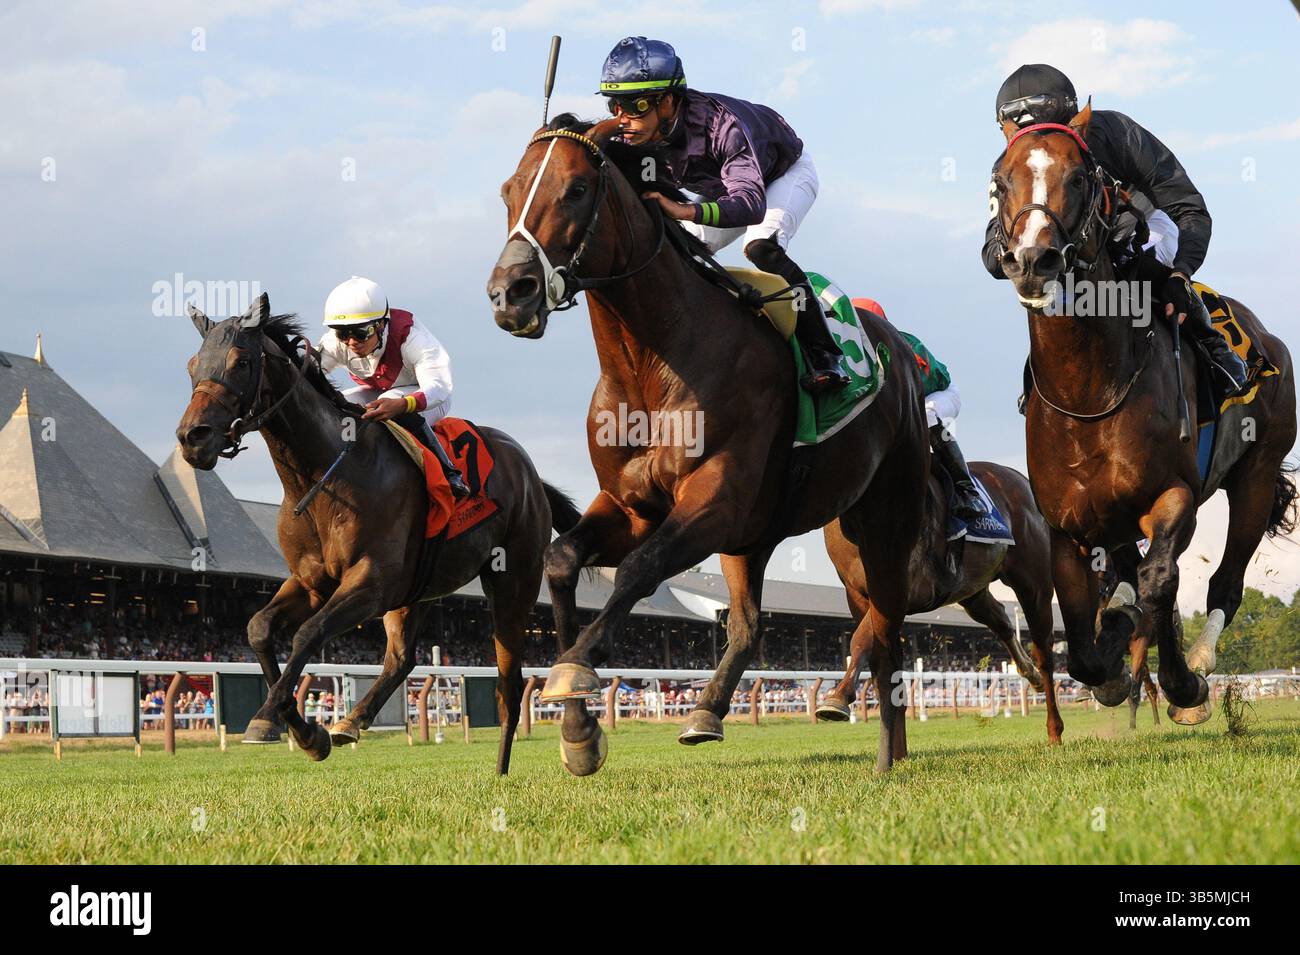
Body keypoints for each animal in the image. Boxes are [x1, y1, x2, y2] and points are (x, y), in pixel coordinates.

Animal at [174, 293, 580, 773]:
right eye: (192, 364)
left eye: (240, 362)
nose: (193, 437)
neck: (326, 474)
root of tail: (532, 476)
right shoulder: (312, 582)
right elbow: (259, 628)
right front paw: (303, 732)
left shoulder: (370, 583)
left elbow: (307, 633)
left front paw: (271, 717)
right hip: (418, 592)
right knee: (402, 659)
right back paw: (351, 721)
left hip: (511, 582)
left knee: (509, 684)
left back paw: (502, 770)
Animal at [488, 116, 931, 774]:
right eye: (508, 192)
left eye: (575, 189)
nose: (509, 293)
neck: (652, 365)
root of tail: (898, 350)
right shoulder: (633, 507)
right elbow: (562, 559)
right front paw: (577, 731)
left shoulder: (715, 500)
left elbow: (639, 569)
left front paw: (577, 667)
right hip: (757, 536)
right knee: (750, 625)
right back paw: (708, 712)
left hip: (882, 519)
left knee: (885, 630)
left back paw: (885, 756)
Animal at [818, 459, 1065, 744]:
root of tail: (1019, 478)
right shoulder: (856, 595)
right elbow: (871, 648)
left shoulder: (903, 588)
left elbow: (860, 638)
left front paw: (838, 697)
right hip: (972, 590)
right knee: (1002, 620)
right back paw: (1029, 672)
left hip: (1034, 584)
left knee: (1044, 650)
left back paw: (1054, 728)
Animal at [989, 103, 1297, 724]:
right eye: (1001, 182)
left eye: (1078, 177)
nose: (1033, 260)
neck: (1089, 394)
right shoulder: (1067, 527)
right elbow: (1084, 644)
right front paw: (1111, 659)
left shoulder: (1175, 497)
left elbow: (1160, 582)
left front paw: (1180, 680)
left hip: (1254, 473)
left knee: (1222, 581)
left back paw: (1198, 665)